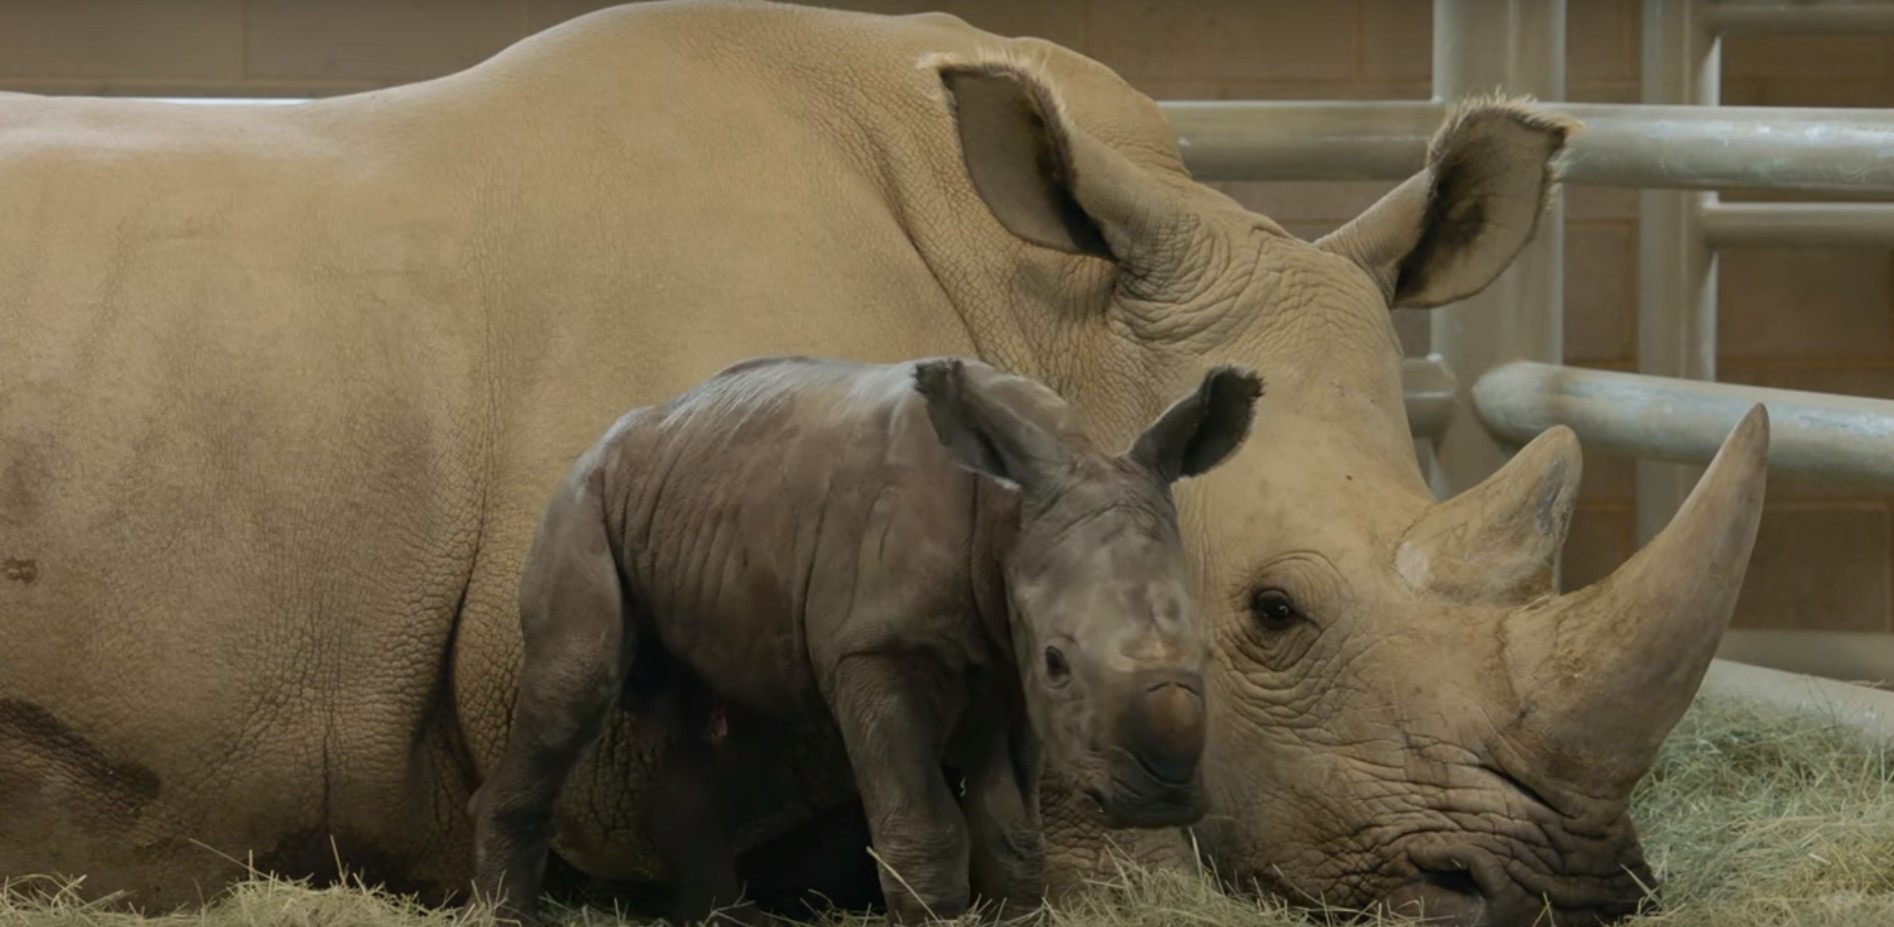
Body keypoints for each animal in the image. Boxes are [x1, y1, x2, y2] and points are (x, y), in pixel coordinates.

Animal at [467, 350, 1265, 921]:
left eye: (1208, 648)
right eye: (1058, 662)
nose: (1162, 796)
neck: (1010, 512)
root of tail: (620, 430)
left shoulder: (1007, 667)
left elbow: (1012, 836)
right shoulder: (880, 648)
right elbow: (925, 830)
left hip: (715, 506)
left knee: (744, 724)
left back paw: (727, 920)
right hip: (581, 497)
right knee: (576, 680)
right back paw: (507, 914)